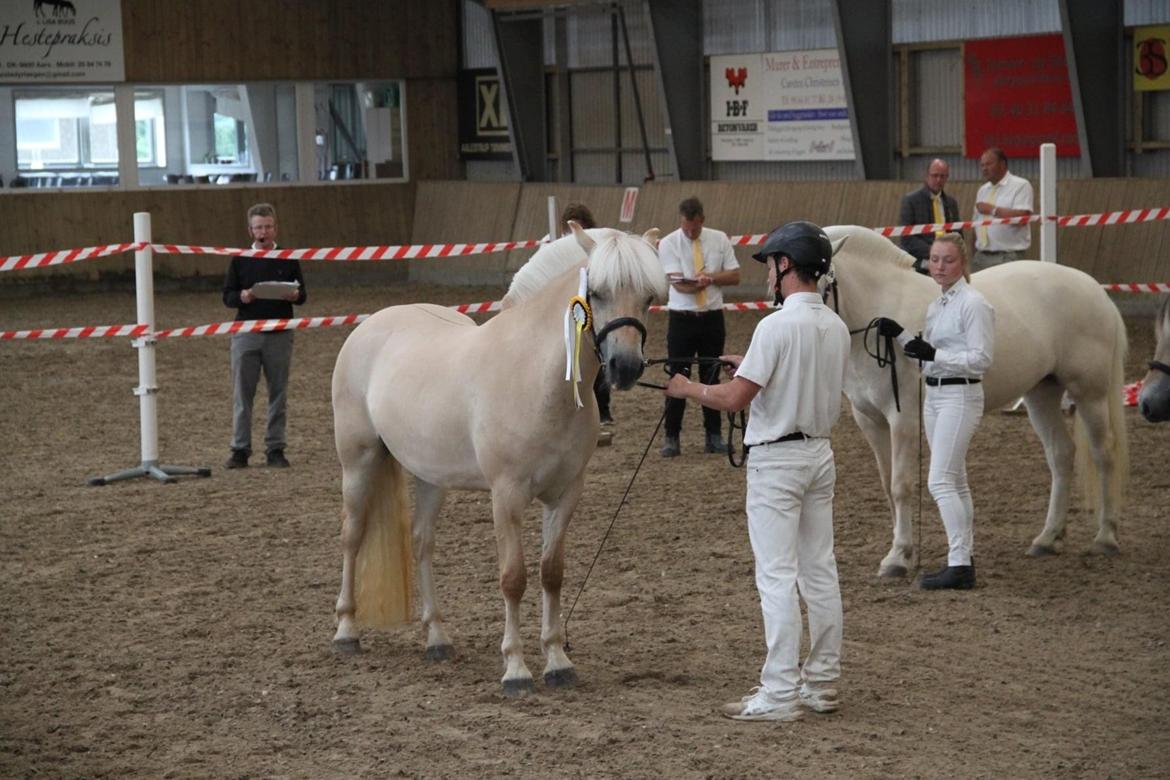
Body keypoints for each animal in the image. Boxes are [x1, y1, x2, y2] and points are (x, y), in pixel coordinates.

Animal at [329, 225, 664, 696]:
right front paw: (516, 669)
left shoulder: (565, 495)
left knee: (422, 543)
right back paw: (346, 632)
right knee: (352, 536)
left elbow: (551, 573)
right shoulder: (507, 496)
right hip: (358, 462)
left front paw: (558, 662)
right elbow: (513, 578)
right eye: (596, 293)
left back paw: (437, 639)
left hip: (431, 477)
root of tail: (374, 324)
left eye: (649, 297)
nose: (626, 367)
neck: (536, 378)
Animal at [819, 222, 1127, 577]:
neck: (879, 311)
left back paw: (1106, 537)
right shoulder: (869, 419)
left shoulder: (903, 419)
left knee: (1104, 454)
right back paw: (1048, 539)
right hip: (1041, 394)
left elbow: (900, 485)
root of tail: (1094, 289)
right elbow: (886, 485)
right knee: (1061, 455)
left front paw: (898, 557)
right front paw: (900, 553)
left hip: (1090, 394)